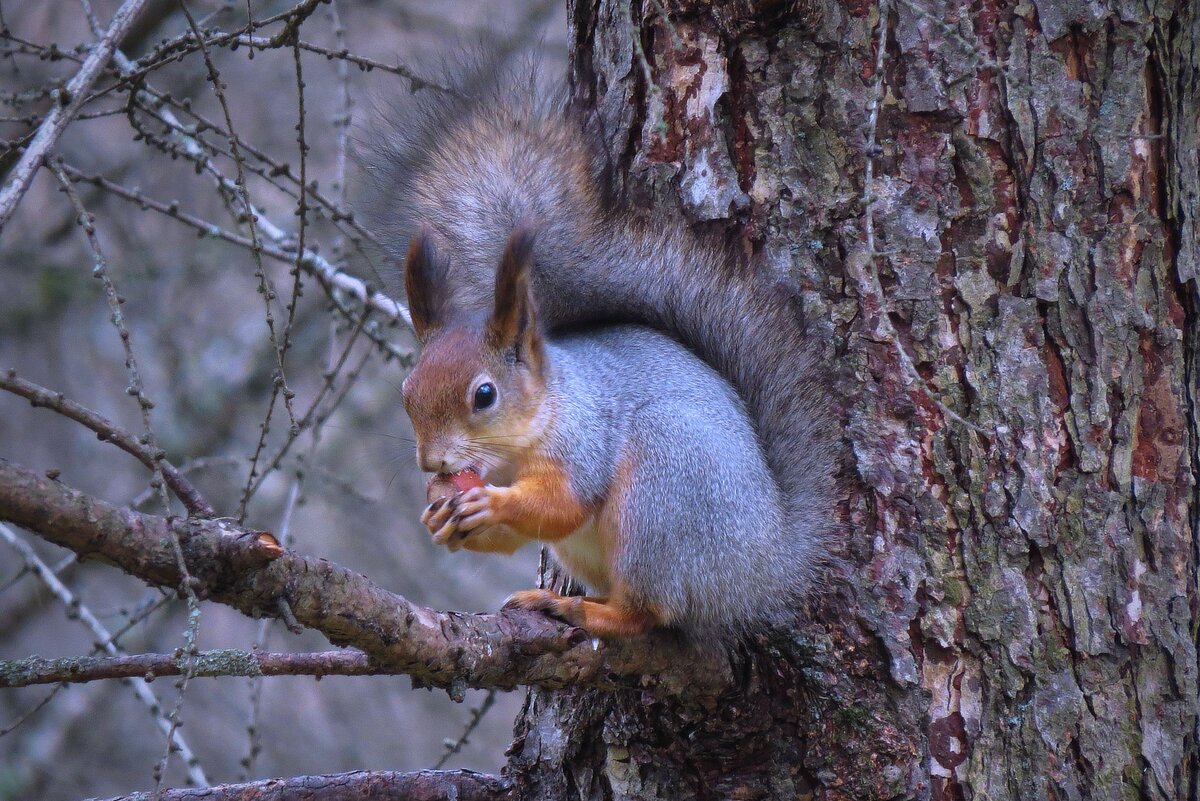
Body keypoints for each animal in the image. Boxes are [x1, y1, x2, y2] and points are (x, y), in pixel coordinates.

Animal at [369, 68, 840, 633]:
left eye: (484, 395)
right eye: (407, 392)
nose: (432, 463)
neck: (515, 448)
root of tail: (760, 570)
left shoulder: (585, 435)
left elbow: (563, 504)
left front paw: (488, 505)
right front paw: (439, 520)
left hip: (661, 490)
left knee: (647, 612)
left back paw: (579, 609)